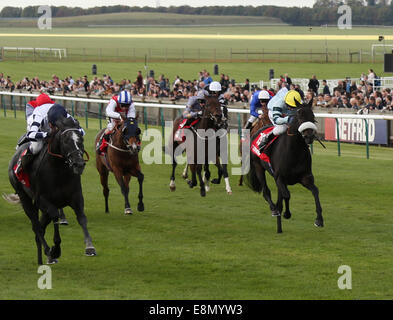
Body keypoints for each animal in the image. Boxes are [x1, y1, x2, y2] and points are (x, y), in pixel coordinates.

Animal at [6, 116, 95, 264]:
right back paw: (48, 252)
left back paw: (42, 259)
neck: (59, 171)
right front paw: (55, 249)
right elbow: (55, 216)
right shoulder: (42, 200)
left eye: (81, 140)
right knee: (36, 227)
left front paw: (89, 247)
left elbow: (82, 217)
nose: (79, 164)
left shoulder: (76, 196)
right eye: (65, 141)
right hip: (26, 199)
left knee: (40, 229)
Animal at [247, 102, 324, 232]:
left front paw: (319, 219)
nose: (309, 136)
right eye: (300, 116)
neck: (294, 151)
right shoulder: (279, 177)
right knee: (266, 191)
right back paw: (274, 209)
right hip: (258, 167)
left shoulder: (306, 178)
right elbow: (287, 195)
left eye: (312, 116)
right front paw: (286, 213)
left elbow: (316, 191)